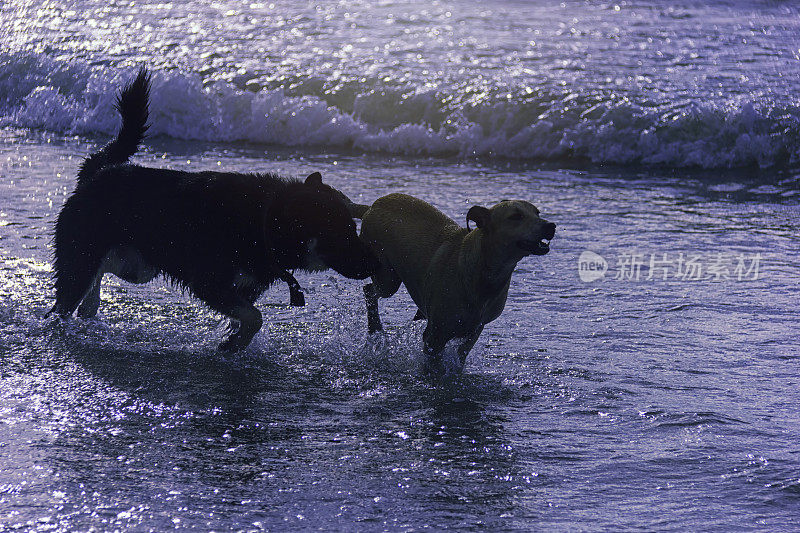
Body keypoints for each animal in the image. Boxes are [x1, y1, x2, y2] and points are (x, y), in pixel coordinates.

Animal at [52, 68, 378, 350]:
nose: (373, 264)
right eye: (340, 233)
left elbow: (248, 316)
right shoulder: (210, 282)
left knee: (98, 274)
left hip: (137, 266)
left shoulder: (242, 288)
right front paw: (234, 344)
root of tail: (95, 173)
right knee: (65, 298)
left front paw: (235, 340)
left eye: (353, 228)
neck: (264, 219)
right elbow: (255, 317)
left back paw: (89, 307)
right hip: (91, 261)